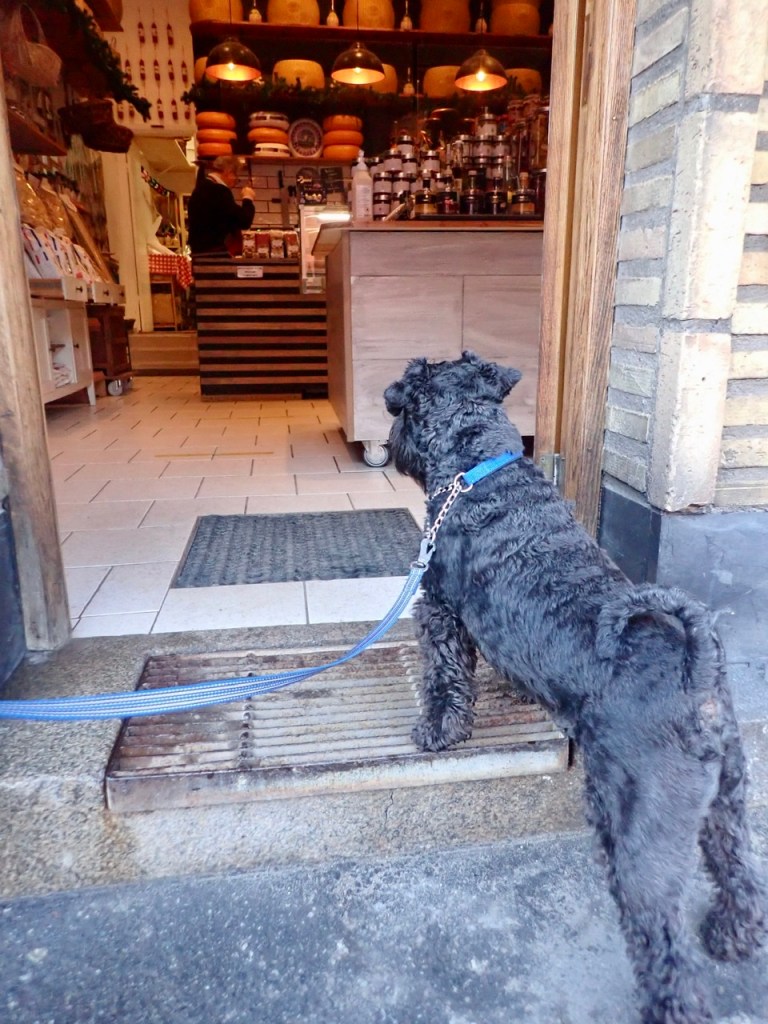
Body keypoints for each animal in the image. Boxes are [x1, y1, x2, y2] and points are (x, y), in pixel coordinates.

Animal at [384, 351, 767, 1024]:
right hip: (727, 796)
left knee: (662, 938)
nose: (386, 443)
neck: (480, 465)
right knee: (739, 869)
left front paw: (436, 730)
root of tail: (696, 674)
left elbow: (446, 675)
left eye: (403, 400)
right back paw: (732, 936)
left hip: (641, 834)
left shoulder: (439, 611)